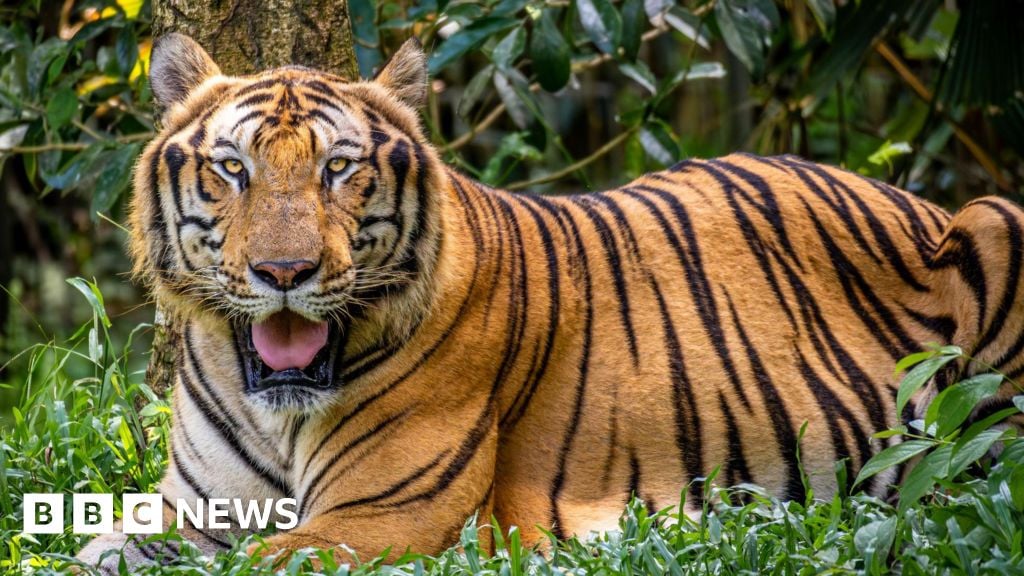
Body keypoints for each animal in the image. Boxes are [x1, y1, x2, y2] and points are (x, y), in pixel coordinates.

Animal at [75, 34, 1024, 569]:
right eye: (232, 169)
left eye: (338, 169)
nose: (284, 272)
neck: (266, 402)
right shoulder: (189, 511)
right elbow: (91, 552)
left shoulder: (384, 514)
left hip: (997, 220)